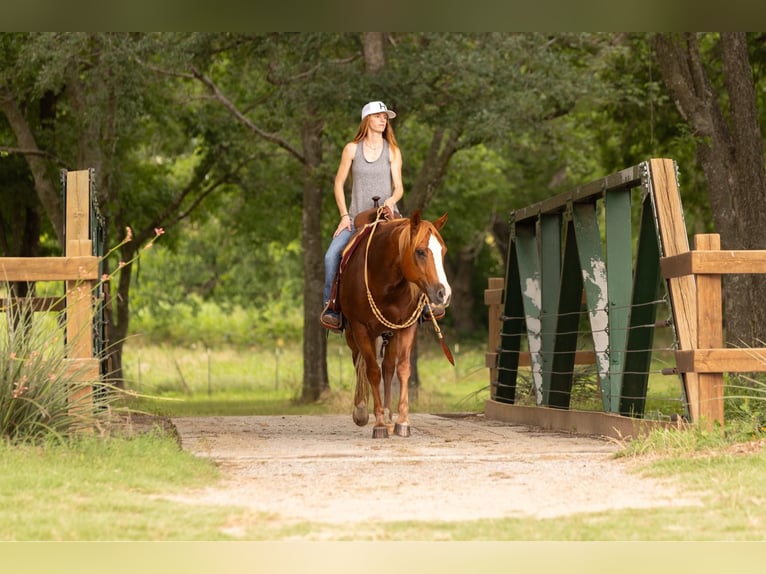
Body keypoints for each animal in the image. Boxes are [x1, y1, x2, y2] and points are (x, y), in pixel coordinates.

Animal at [338, 207, 451, 438]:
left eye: (443, 251)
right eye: (420, 251)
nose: (444, 293)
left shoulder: (406, 327)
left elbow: (403, 369)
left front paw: (402, 422)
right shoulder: (360, 328)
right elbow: (372, 371)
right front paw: (379, 423)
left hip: (390, 333)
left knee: (388, 368)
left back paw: (390, 417)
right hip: (354, 334)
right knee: (359, 361)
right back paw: (363, 410)